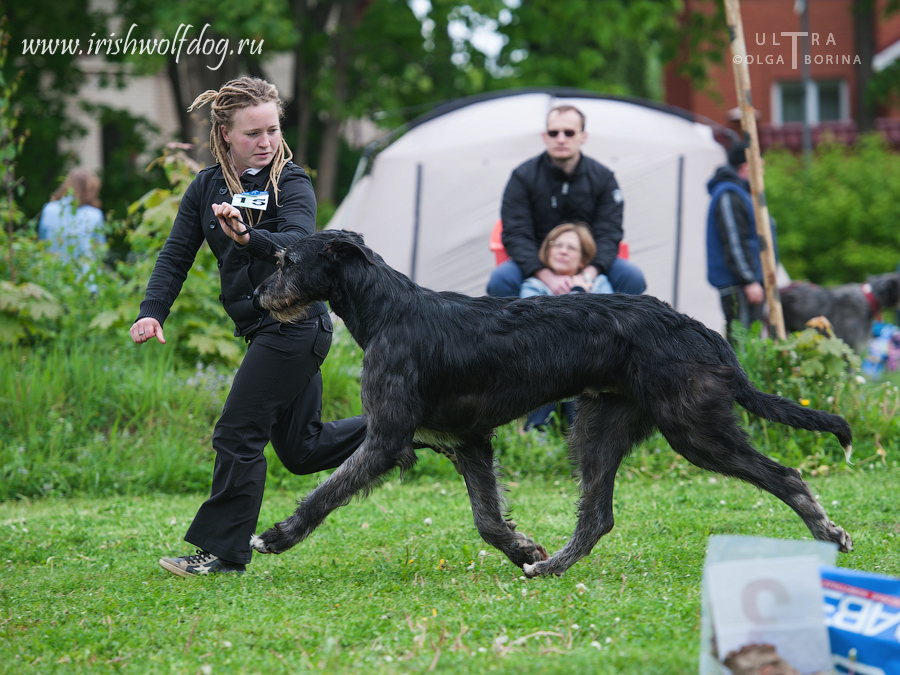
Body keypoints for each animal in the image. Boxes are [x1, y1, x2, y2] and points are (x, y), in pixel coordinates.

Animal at [250, 230, 856, 580]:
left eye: (285, 259)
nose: (256, 297)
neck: (387, 310)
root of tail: (706, 332)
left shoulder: (387, 438)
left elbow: (326, 494)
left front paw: (277, 535)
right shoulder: (468, 441)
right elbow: (487, 520)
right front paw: (523, 549)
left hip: (693, 429)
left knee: (785, 474)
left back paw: (828, 532)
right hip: (598, 427)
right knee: (598, 515)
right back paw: (552, 566)